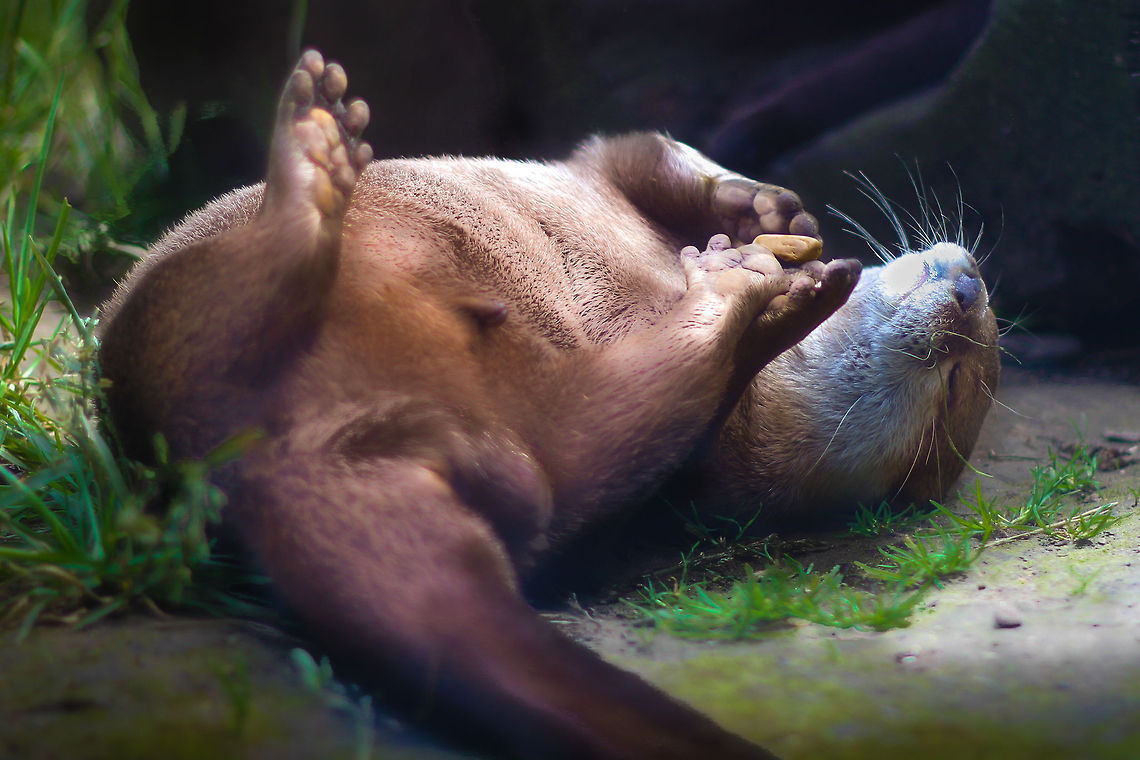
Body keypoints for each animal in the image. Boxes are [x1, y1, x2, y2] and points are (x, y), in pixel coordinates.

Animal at [97, 51, 999, 760]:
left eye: (955, 384)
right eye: (975, 355)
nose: (968, 288)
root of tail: (288, 454)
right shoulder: (595, 171)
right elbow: (645, 153)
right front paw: (762, 208)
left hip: (182, 336)